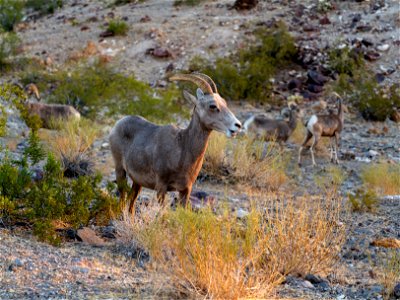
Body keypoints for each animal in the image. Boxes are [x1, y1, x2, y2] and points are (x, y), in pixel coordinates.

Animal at [108, 73, 241, 212]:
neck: (182, 149)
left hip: (137, 182)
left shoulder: (185, 190)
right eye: (212, 106)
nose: (237, 125)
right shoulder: (161, 187)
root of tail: (118, 124)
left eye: (224, 103)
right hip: (120, 171)